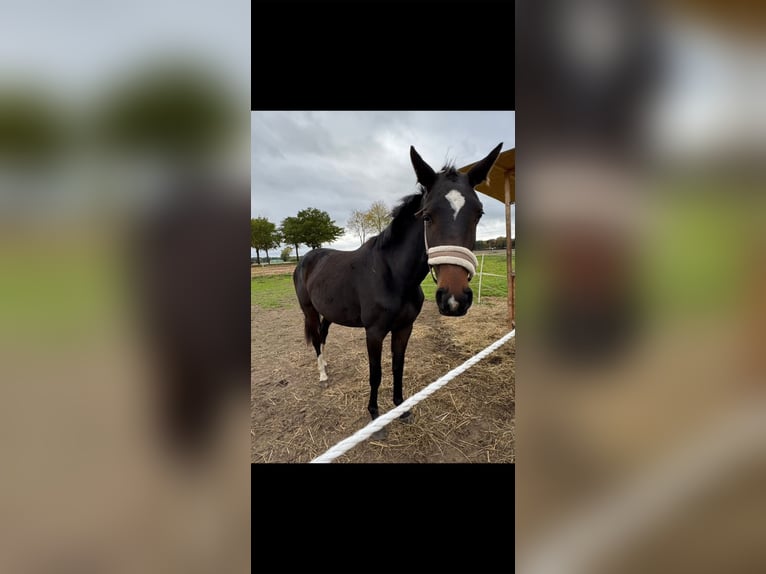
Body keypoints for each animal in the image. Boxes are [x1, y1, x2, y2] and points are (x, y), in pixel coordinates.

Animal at [293, 143, 503, 428]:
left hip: (328, 312)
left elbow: (397, 367)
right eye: (427, 216)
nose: (454, 299)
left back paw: (326, 367)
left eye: (478, 214)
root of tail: (307, 258)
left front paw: (400, 408)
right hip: (309, 311)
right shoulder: (374, 332)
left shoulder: (404, 328)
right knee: (316, 338)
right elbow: (376, 373)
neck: (392, 275)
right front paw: (374, 414)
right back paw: (323, 375)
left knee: (323, 336)